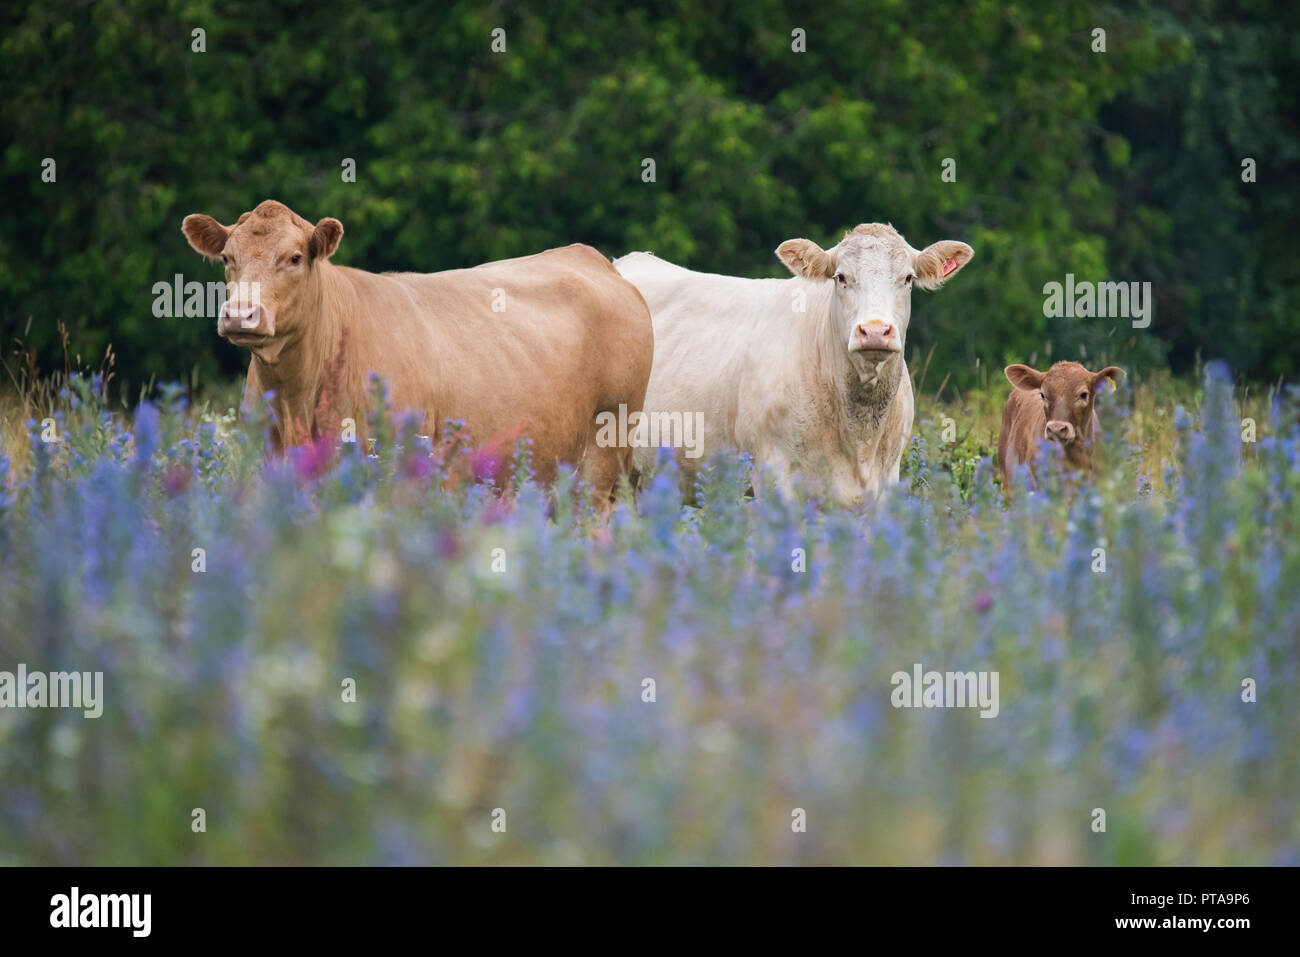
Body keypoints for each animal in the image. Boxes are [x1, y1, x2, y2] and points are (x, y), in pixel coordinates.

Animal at [182, 200, 654, 500]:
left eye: (294, 257)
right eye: (227, 258)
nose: (241, 315)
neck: (297, 397)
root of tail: (589, 257)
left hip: (603, 451)